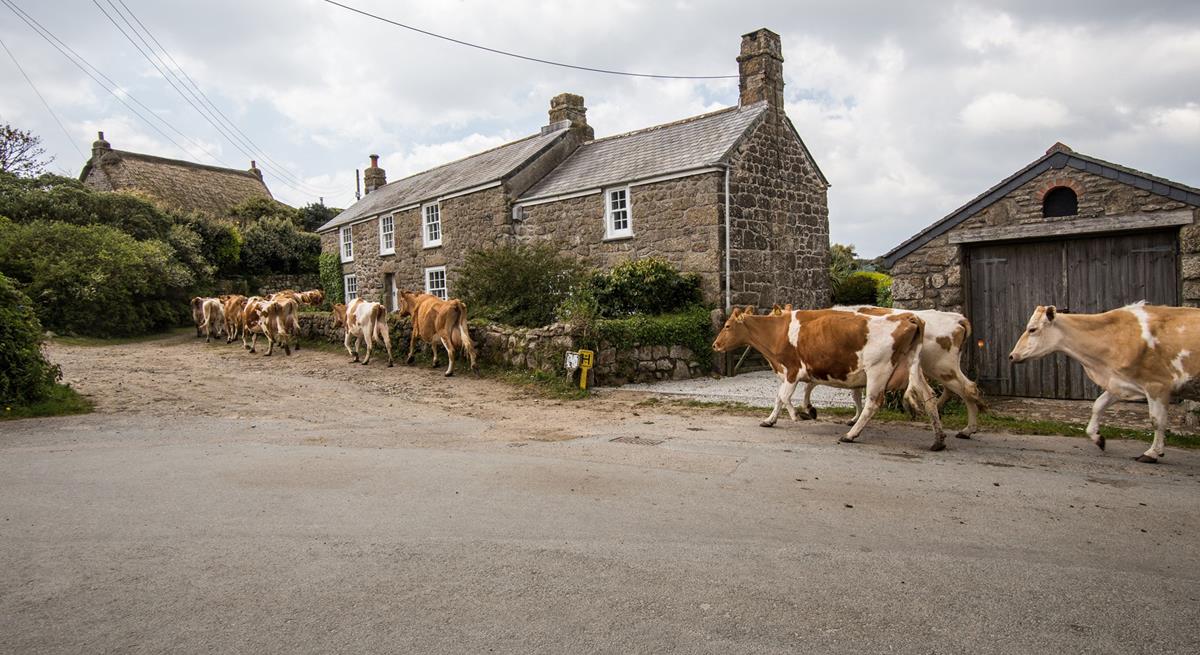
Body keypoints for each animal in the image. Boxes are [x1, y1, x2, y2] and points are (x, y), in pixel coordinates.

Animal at [713, 306, 948, 451]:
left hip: (878, 369)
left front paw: (795, 415)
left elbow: (783, 397)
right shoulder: (794, 371)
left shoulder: (792, 369)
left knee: (873, 403)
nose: (715, 345)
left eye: (727, 326)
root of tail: (908, 316)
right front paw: (774, 419)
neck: (777, 331)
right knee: (929, 397)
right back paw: (938, 440)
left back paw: (850, 435)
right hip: (912, 367)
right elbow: (784, 396)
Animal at [790, 306, 985, 439]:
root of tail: (957, 318)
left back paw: (966, 428)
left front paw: (809, 409)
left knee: (966, 389)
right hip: (940, 369)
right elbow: (853, 393)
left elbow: (810, 386)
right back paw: (963, 429)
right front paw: (853, 417)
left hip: (941, 367)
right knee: (958, 390)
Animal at [1009, 302, 1200, 463]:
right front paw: (1098, 438)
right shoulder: (1120, 382)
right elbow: (1098, 405)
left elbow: (1157, 420)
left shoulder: (1157, 385)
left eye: (1032, 329)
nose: (1012, 355)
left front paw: (1152, 453)